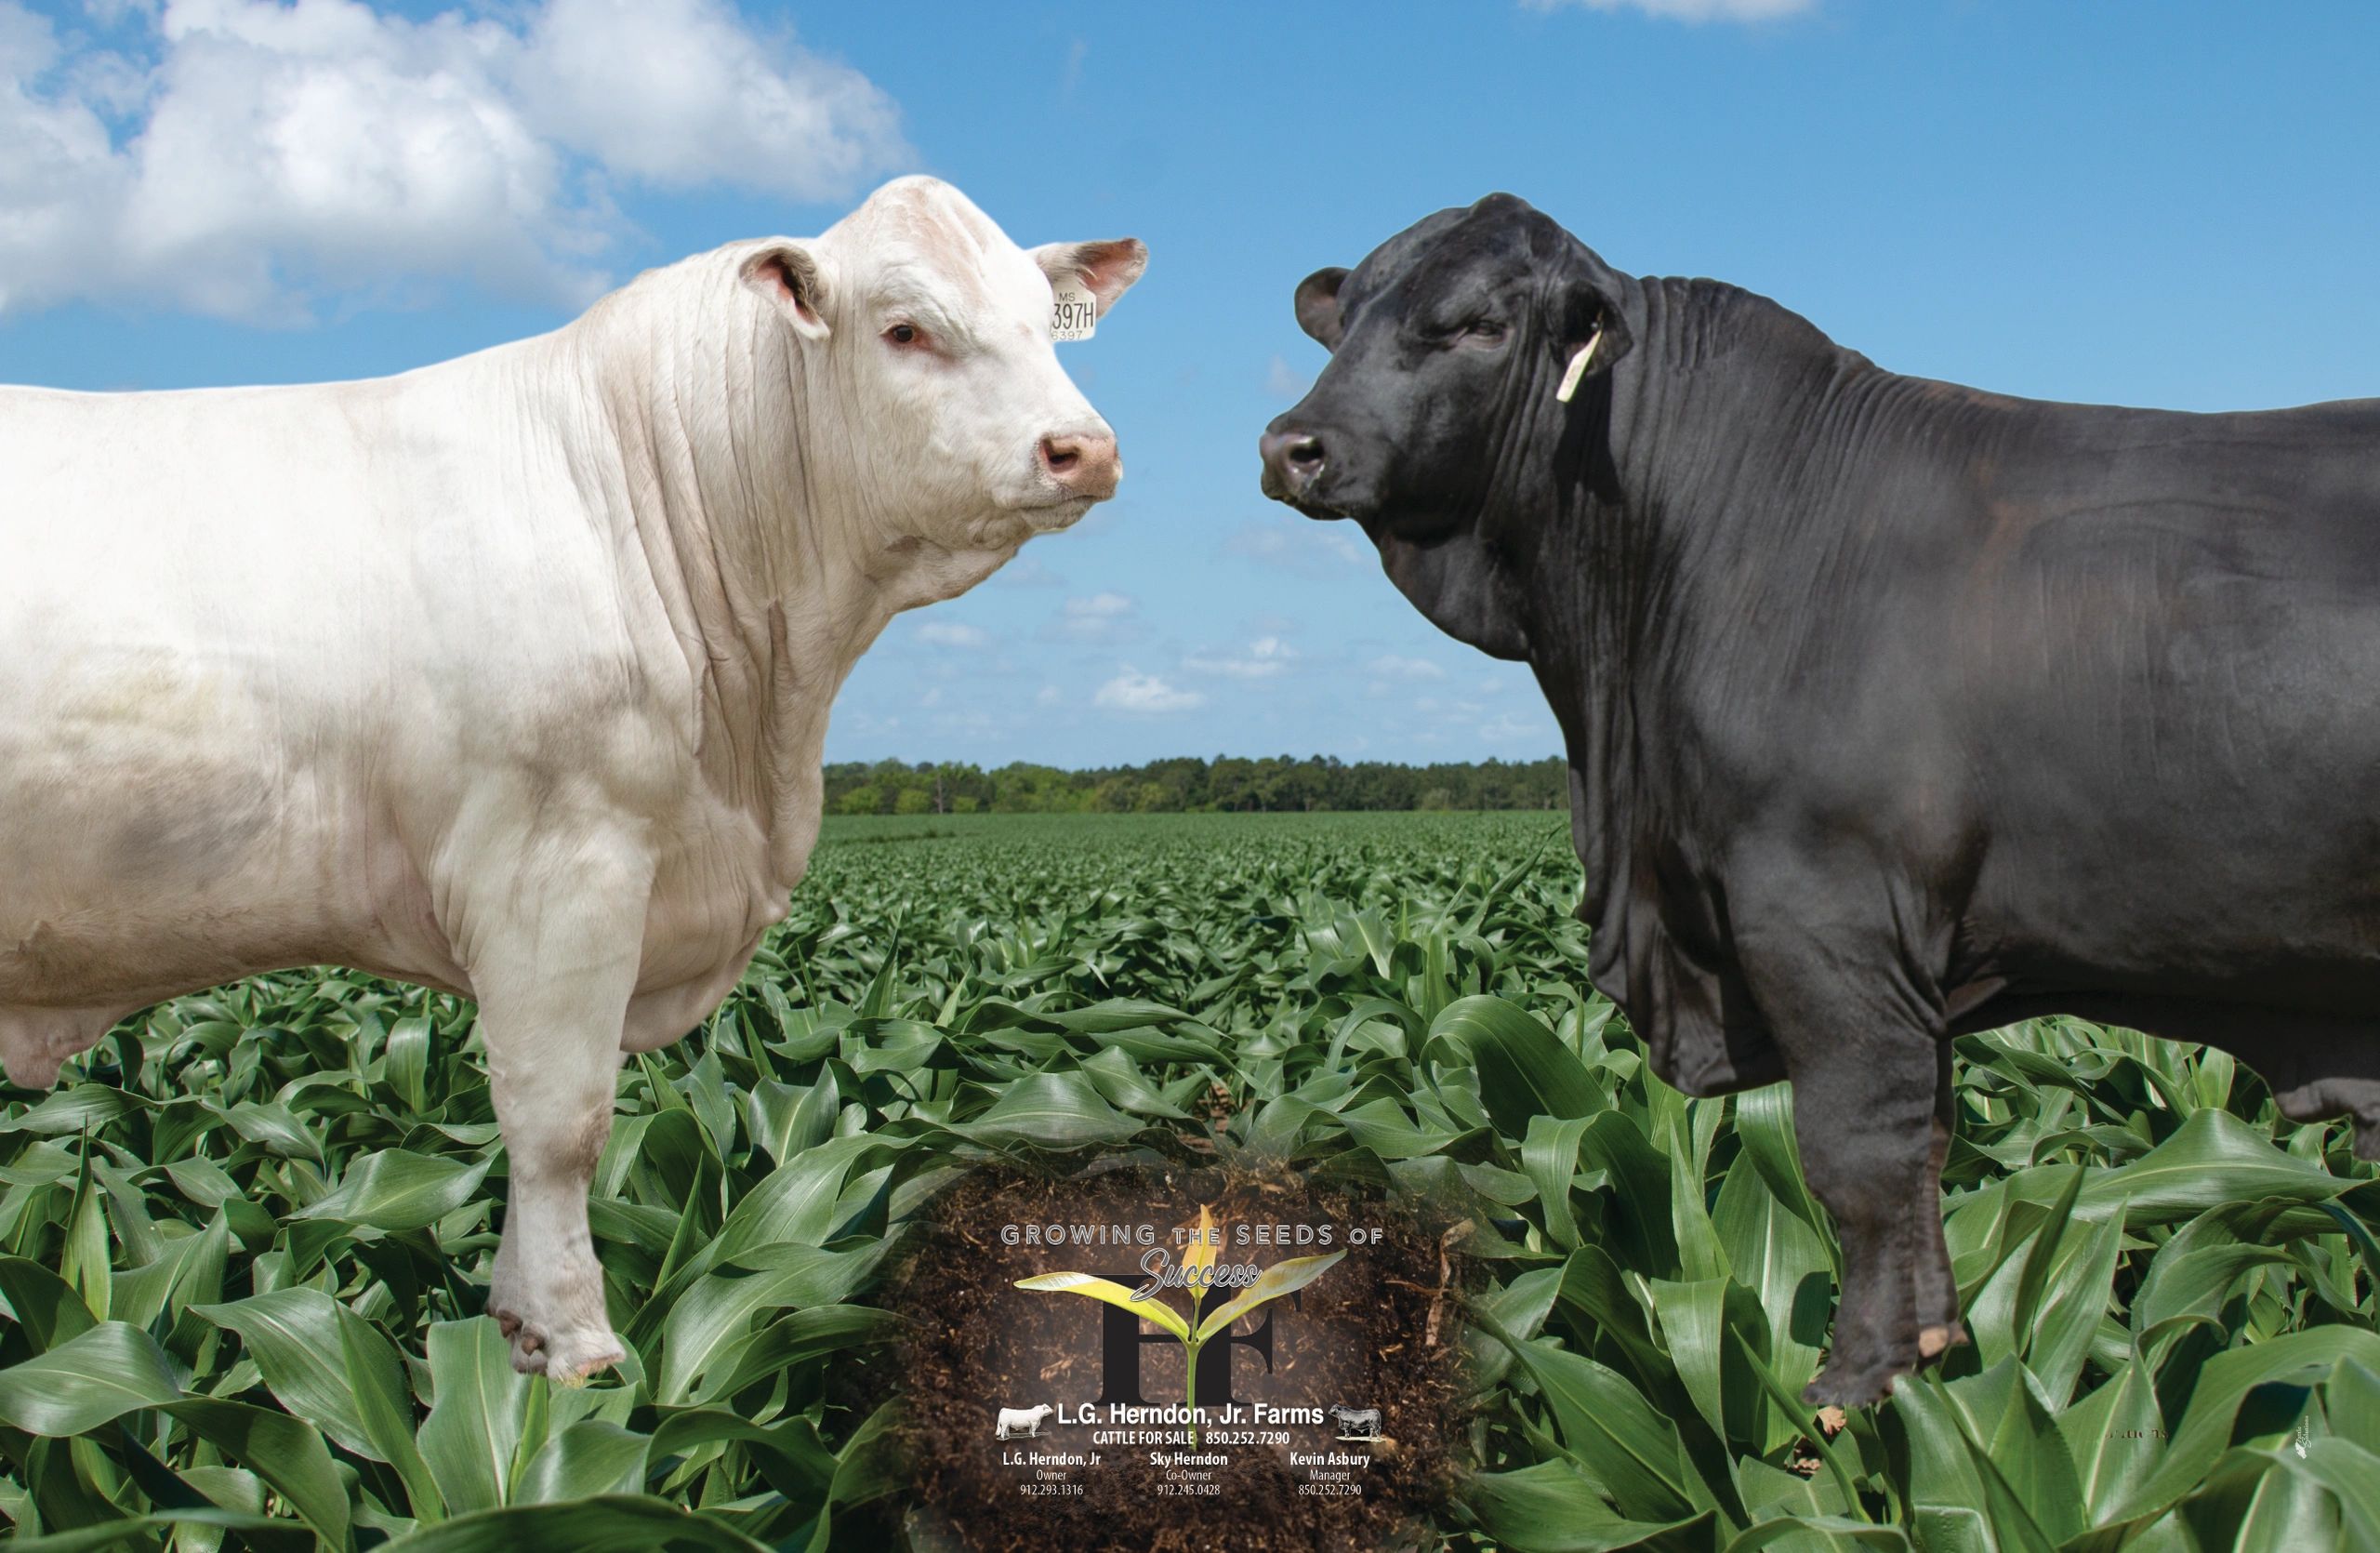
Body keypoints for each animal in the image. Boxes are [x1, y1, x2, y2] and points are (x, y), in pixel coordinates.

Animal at [0, 175, 1145, 1383]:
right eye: (906, 328)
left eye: (1046, 320)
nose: (1083, 448)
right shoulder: (556, 862)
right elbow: (560, 1120)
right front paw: (574, 1342)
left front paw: (517, 1324)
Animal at [1259, 193, 2380, 1406]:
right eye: (1342, 324)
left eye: (1476, 323)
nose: (1291, 445)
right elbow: (1925, 1141)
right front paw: (1929, 1358)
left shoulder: (1820, 914)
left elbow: (1859, 1153)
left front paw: (1855, 1383)